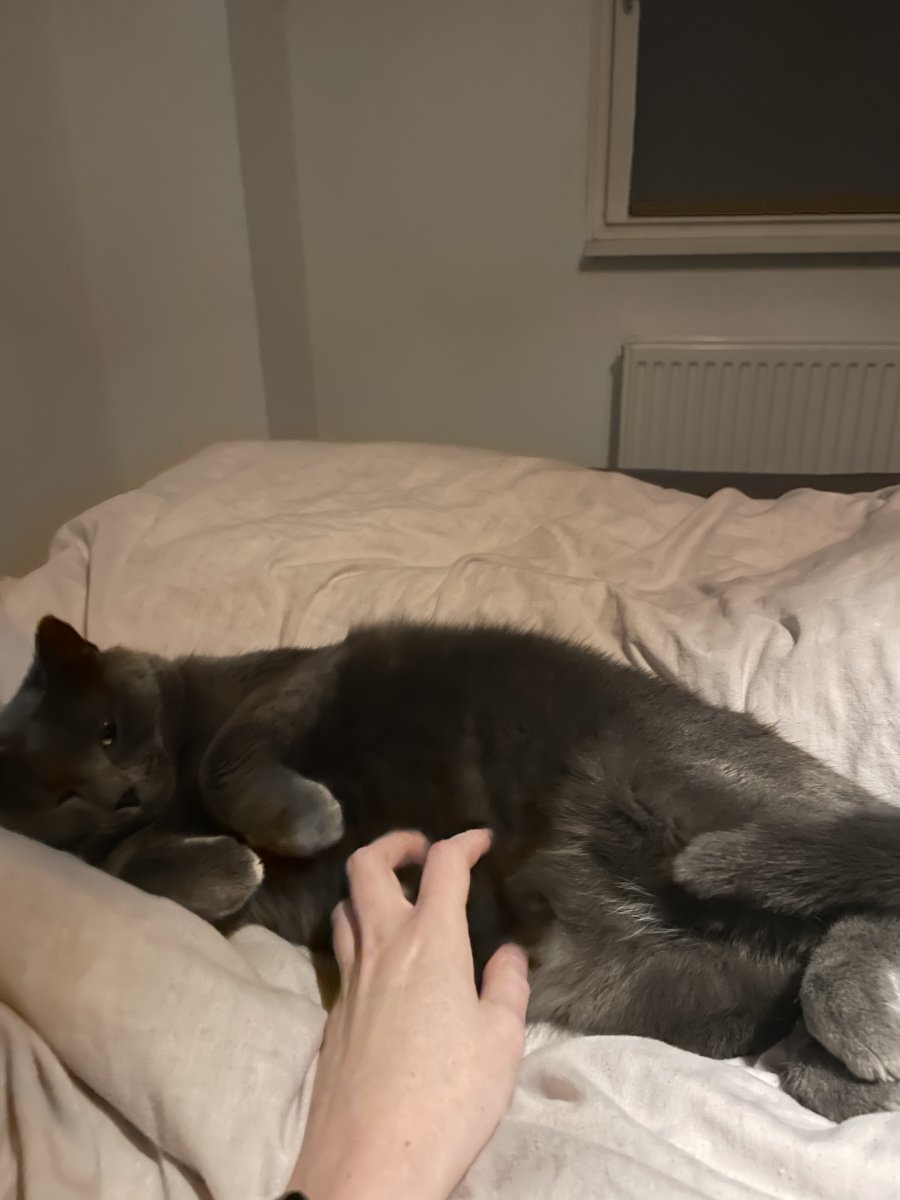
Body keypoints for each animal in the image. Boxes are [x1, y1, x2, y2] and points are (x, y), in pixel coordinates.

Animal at [3, 614, 900, 1122]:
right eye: (60, 795)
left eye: (110, 730)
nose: (121, 792)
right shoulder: (118, 850)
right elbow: (126, 869)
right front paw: (231, 867)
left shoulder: (291, 682)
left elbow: (227, 759)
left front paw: (306, 823)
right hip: (668, 994)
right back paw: (845, 1053)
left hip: (692, 791)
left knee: (861, 876)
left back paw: (856, 1014)